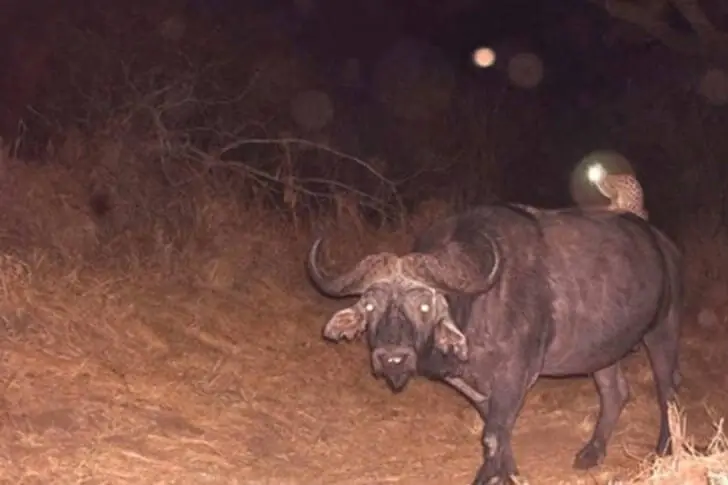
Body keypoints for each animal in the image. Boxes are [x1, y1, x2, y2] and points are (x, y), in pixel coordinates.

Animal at [306, 204, 683, 485]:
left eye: (425, 305)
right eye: (370, 306)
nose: (393, 359)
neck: (478, 305)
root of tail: (665, 245)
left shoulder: (516, 375)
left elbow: (492, 435)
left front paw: (490, 476)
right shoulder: (474, 385)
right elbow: (497, 430)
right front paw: (507, 471)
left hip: (663, 330)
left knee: (668, 391)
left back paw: (665, 449)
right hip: (602, 350)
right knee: (615, 392)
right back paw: (592, 452)